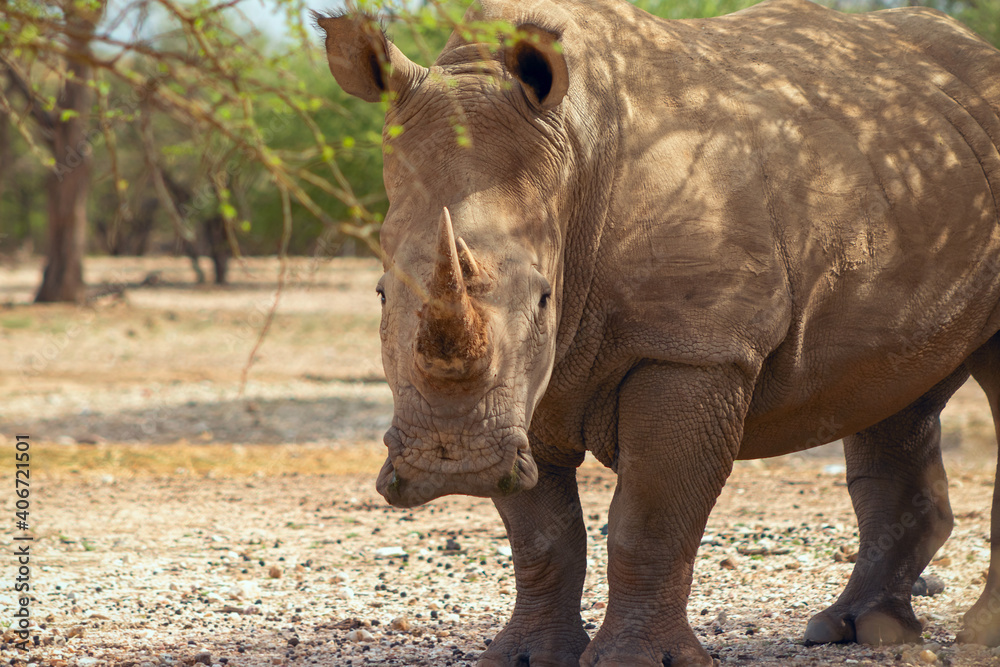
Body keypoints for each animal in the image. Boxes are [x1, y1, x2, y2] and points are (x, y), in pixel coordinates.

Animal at [315, 0, 1000, 664]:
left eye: (543, 298)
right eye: (380, 293)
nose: (451, 464)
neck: (573, 156)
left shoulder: (694, 348)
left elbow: (649, 518)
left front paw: (635, 660)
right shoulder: (522, 390)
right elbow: (540, 534)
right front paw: (526, 658)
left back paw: (970, 635)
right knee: (893, 390)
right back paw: (856, 631)